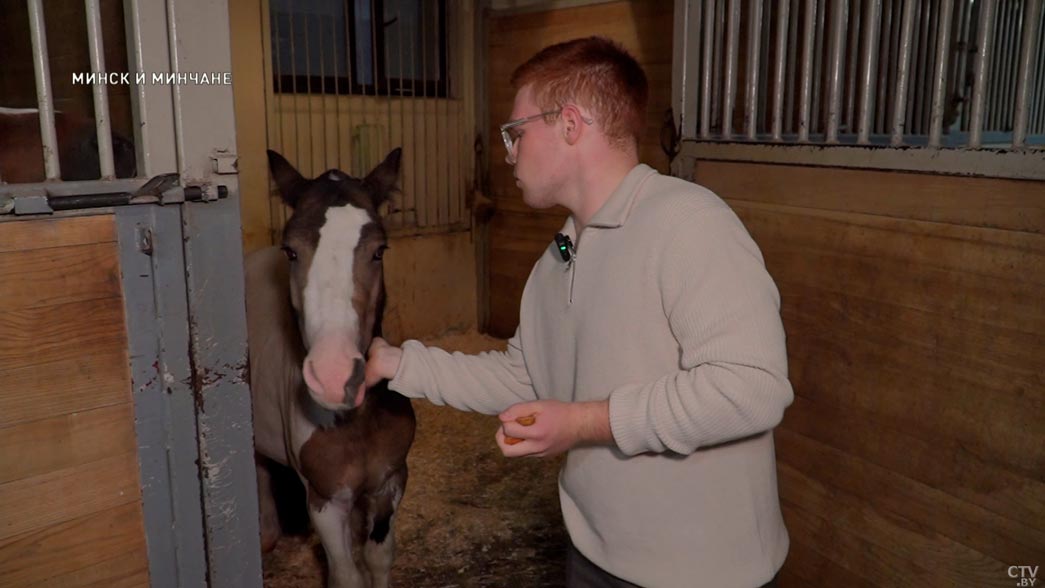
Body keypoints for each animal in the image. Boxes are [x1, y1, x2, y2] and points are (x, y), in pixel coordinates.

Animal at [247, 148, 415, 588]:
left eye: (379, 250)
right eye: (290, 251)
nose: (334, 376)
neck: (356, 421)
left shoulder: (391, 482)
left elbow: (378, 557)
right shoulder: (324, 502)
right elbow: (347, 576)